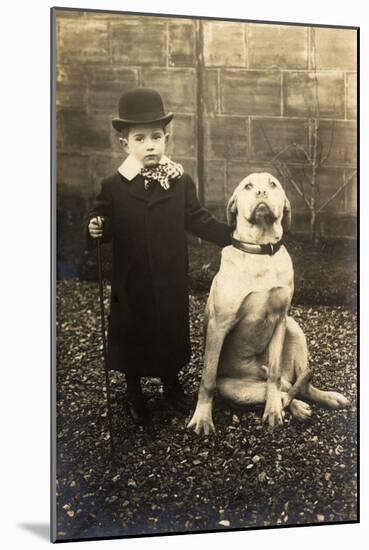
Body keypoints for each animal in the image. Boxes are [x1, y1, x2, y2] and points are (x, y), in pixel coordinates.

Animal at [187, 172, 348, 436]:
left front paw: (272, 411)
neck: (260, 250)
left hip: (294, 328)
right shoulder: (218, 326)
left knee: (294, 384)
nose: (261, 193)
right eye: (248, 186)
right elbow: (207, 379)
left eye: (273, 184)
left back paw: (324, 398)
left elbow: (273, 373)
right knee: (285, 390)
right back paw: (298, 407)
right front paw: (202, 417)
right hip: (233, 389)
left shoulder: (280, 319)